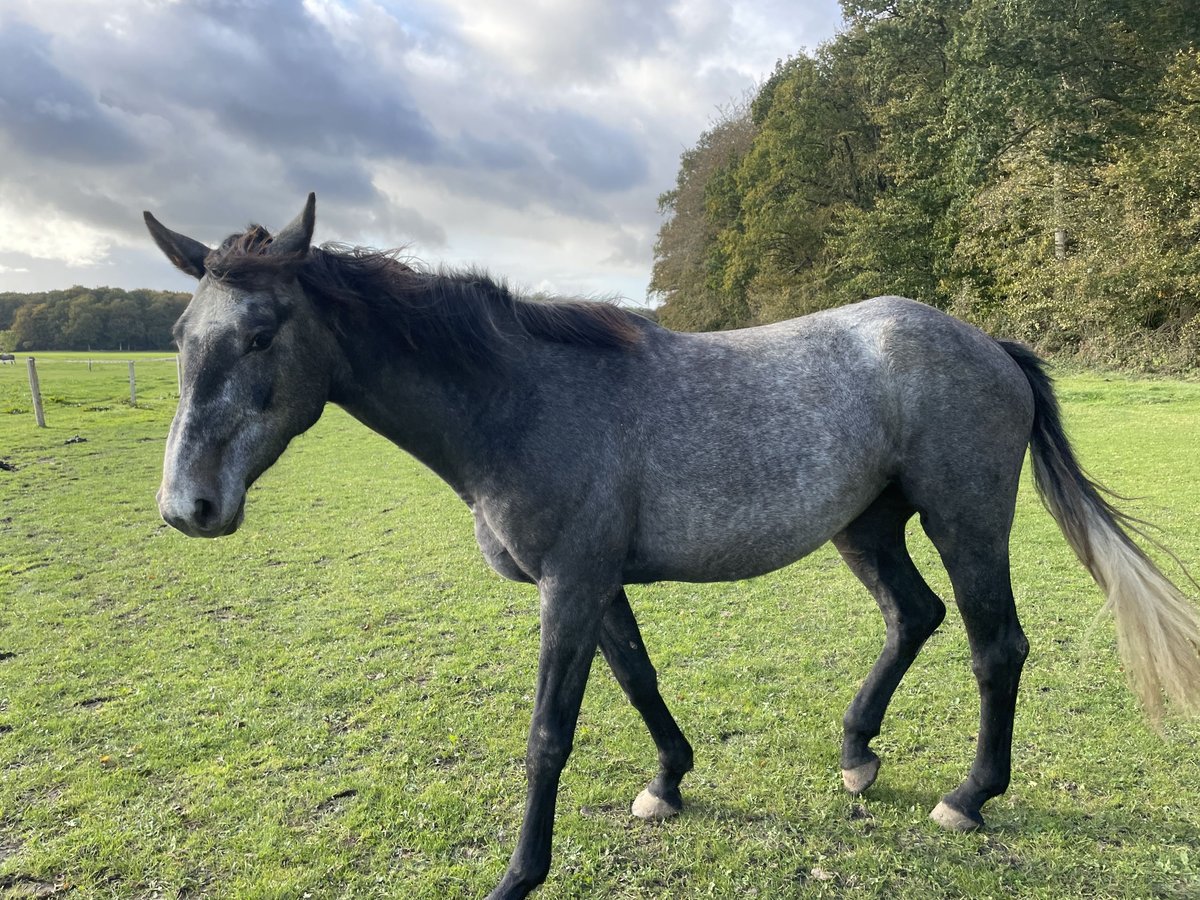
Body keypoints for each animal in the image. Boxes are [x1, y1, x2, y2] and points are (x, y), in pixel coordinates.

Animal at [147, 194, 1200, 897]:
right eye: (180, 334)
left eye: (261, 332)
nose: (187, 506)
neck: (520, 401)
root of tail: (991, 345)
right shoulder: (597, 582)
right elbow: (639, 679)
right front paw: (668, 784)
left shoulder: (569, 585)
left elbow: (550, 732)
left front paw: (519, 874)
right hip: (866, 527)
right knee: (915, 617)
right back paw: (857, 753)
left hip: (965, 520)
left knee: (995, 647)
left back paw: (969, 796)